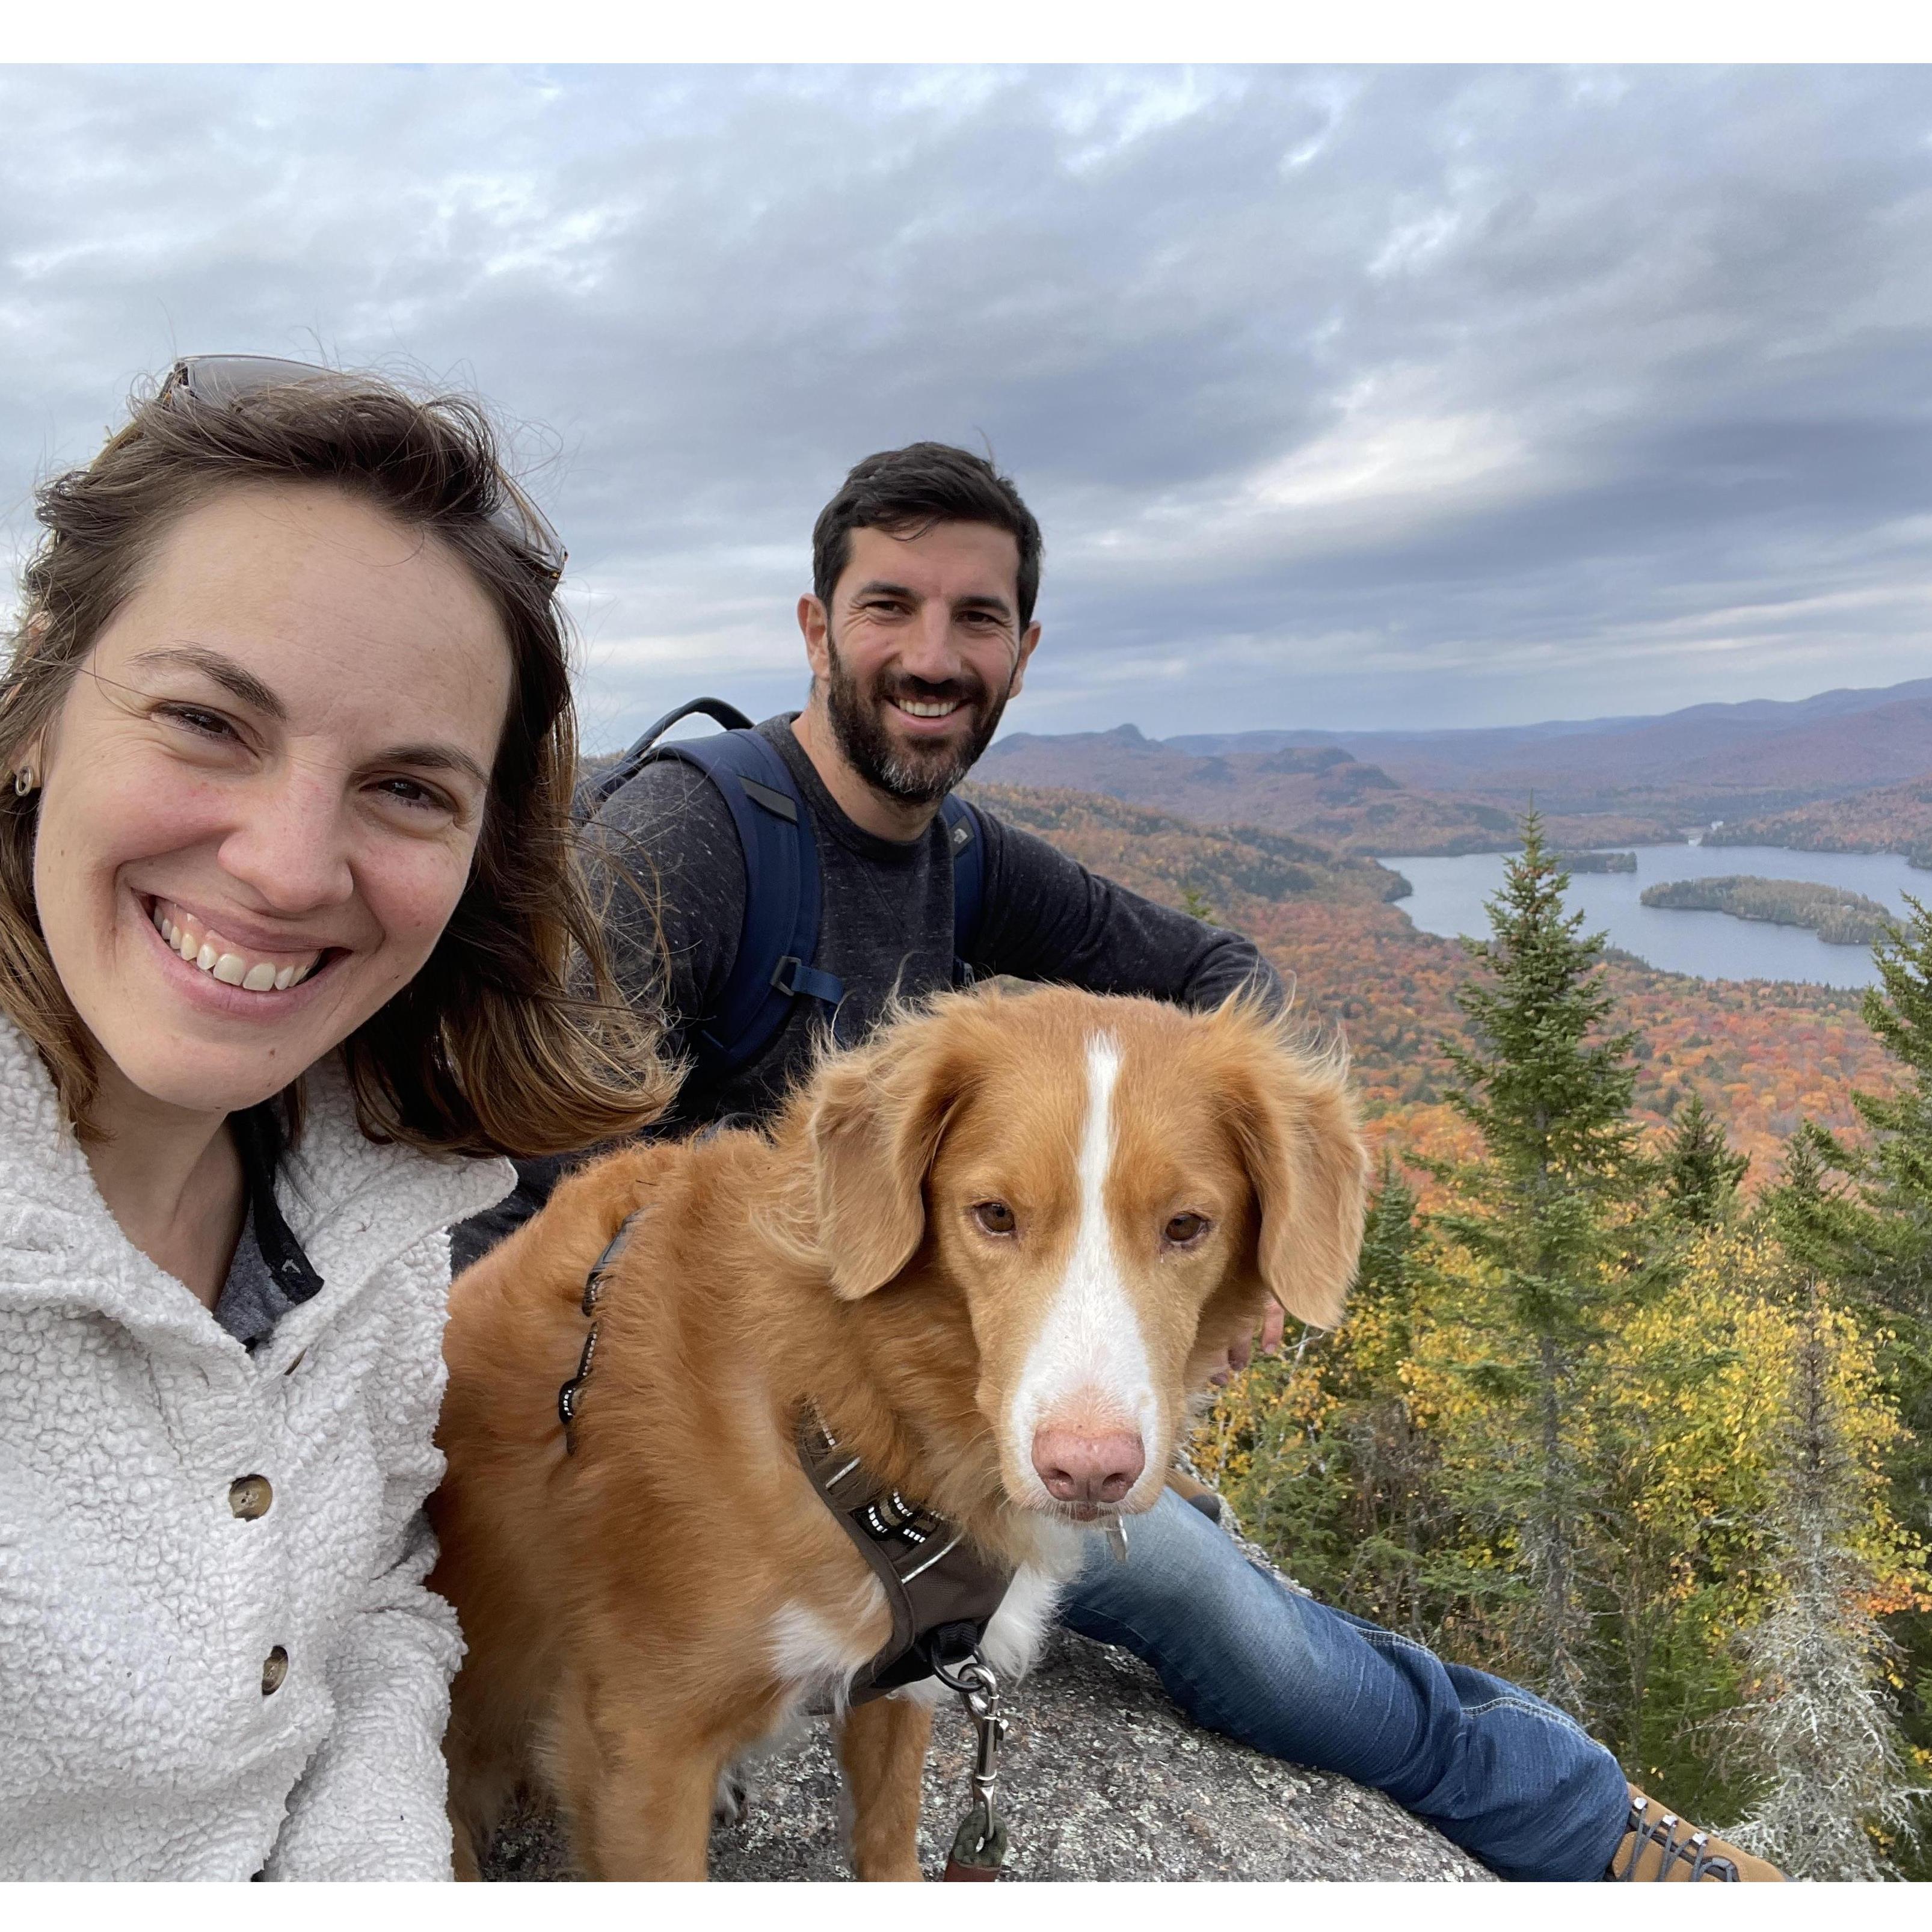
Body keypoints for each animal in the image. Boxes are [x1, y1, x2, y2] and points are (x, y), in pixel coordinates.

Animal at [434, 981, 1375, 1870]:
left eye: (1186, 1226)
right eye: (994, 1214)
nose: (1088, 1472)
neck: (856, 1396)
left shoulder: (918, 1668)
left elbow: (889, 1834)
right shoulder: (638, 1747)